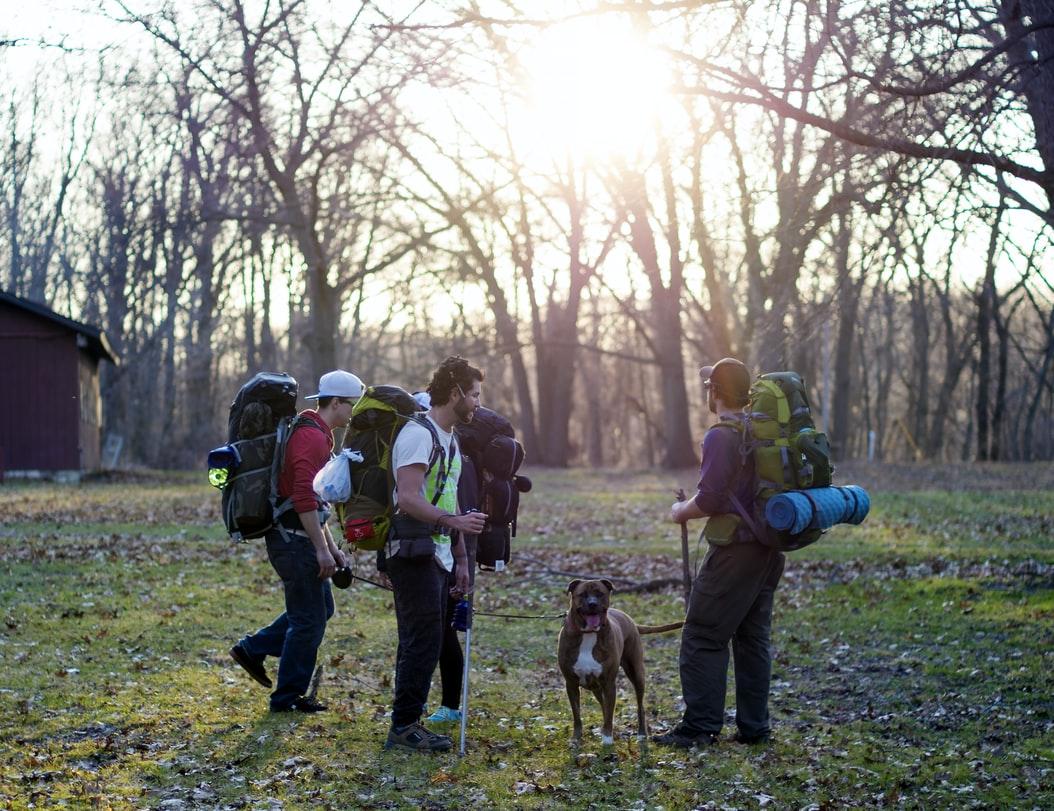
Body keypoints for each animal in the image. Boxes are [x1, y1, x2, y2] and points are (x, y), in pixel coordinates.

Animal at [560, 577, 682, 742]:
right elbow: (577, 715)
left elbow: (609, 713)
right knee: (604, 705)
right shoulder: (571, 684)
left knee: (640, 706)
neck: (588, 634)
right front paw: (576, 739)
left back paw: (642, 734)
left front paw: (607, 739)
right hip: (596, 687)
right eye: (583, 594)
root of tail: (630, 619)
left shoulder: (609, 684)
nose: (592, 604)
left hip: (636, 673)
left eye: (599, 594)